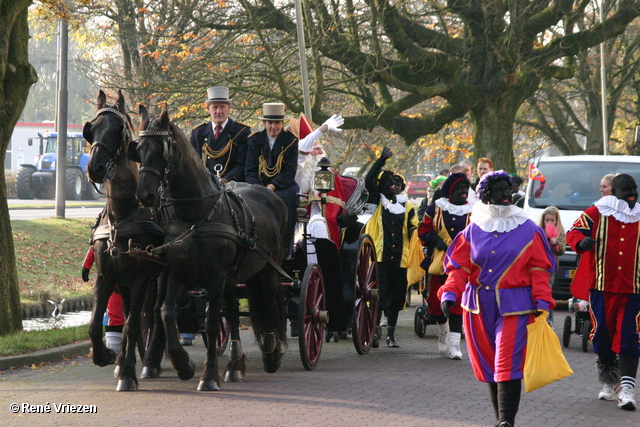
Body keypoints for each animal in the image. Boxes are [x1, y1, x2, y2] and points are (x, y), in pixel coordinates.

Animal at [82, 90, 166, 392]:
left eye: (117, 130)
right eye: (92, 129)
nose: (94, 168)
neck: (122, 216)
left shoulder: (142, 277)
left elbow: (132, 324)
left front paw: (128, 373)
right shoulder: (106, 276)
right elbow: (95, 323)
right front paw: (106, 356)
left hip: (159, 280)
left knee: (155, 314)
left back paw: (150, 361)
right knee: (139, 314)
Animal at [135, 104, 288, 392]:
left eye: (163, 149)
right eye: (137, 148)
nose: (145, 196)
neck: (197, 214)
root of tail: (271, 196)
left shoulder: (215, 277)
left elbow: (211, 322)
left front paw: (208, 377)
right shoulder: (178, 273)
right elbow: (166, 312)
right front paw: (183, 364)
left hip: (268, 269)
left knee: (271, 304)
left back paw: (271, 352)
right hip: (236, 276)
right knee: (234, 312)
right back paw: (235, 366)